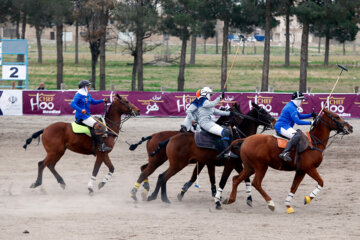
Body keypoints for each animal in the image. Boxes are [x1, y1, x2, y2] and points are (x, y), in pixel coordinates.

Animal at [147, 101, 276, 204]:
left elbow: (245, 179)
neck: (238, 137)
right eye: (264, 111)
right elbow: (220, 180)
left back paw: (158, 197)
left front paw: (249, 199)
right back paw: (156, 196)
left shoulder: (235, 164)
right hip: (177, 164)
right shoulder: (227, 163)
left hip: (174, 163)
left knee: (160, 176)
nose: (274, 121)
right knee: (162, 176)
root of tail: (170, 139)